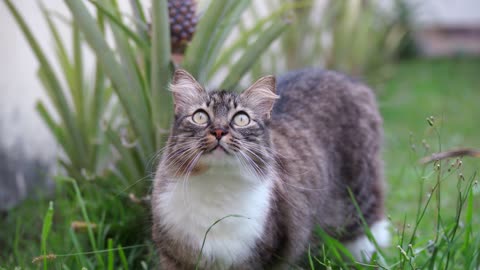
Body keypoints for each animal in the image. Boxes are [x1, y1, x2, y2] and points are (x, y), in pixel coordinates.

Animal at [152, 68, 388, 268]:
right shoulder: (173, 256)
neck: (216, 186)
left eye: (241, 119)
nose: (219, 131)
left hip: (358, 195)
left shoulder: (265, 254)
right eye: (200, 116)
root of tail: (346, 78)